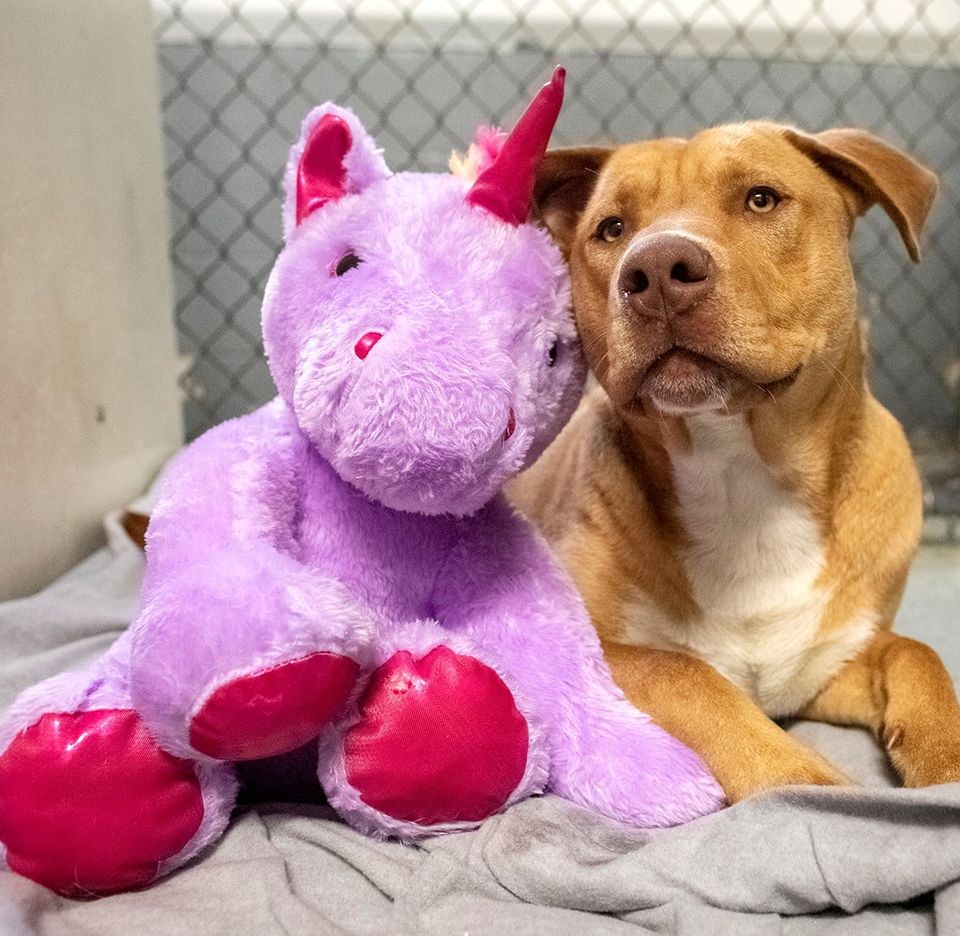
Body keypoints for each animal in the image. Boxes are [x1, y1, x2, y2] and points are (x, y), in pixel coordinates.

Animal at [510, 120, 960, 800]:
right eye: (611, 229)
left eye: (761, 199)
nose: (656, 268)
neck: (741, 479)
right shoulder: (585, 647)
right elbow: (682, 673)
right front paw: (804, 782)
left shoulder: (828, 665)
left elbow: (916, 654)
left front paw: (946, 762)